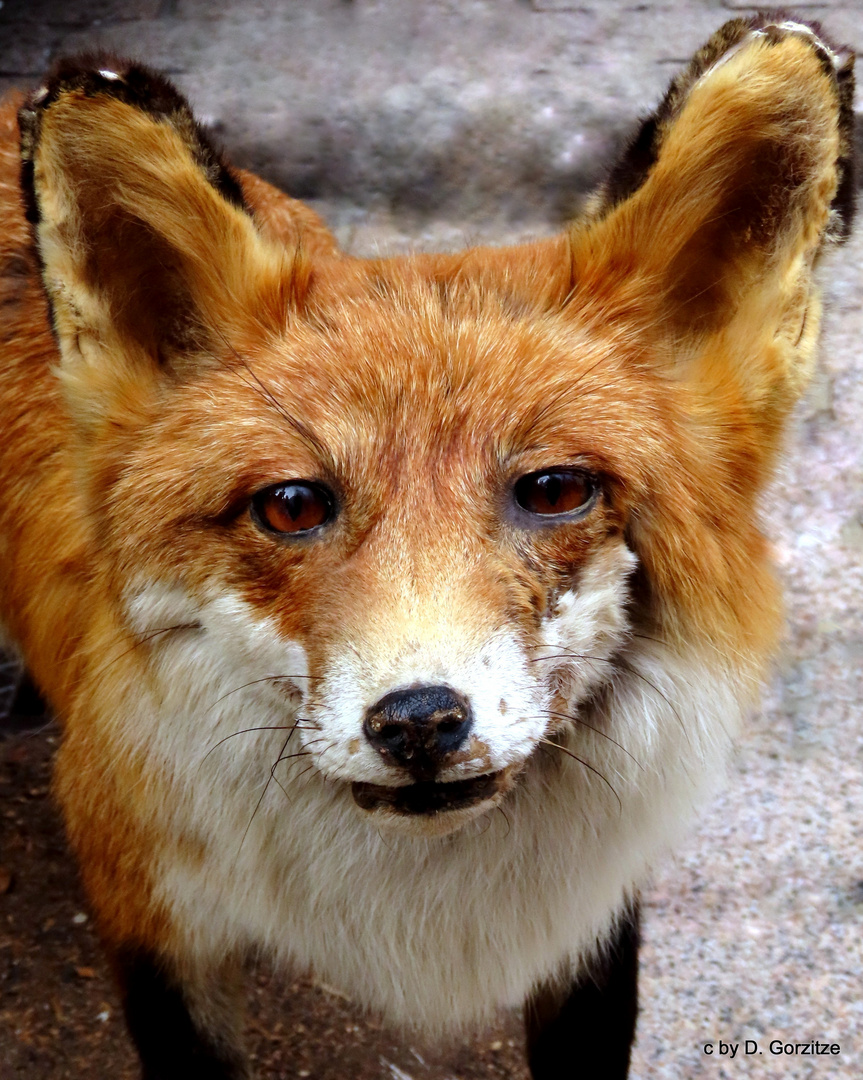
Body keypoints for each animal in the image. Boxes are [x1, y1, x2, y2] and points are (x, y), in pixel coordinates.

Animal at [0, 10, 855, 1080]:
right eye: (293, 506)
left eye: (553, 490)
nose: (417, 723)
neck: (419, 901)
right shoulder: (150, 916)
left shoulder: (589, 922)